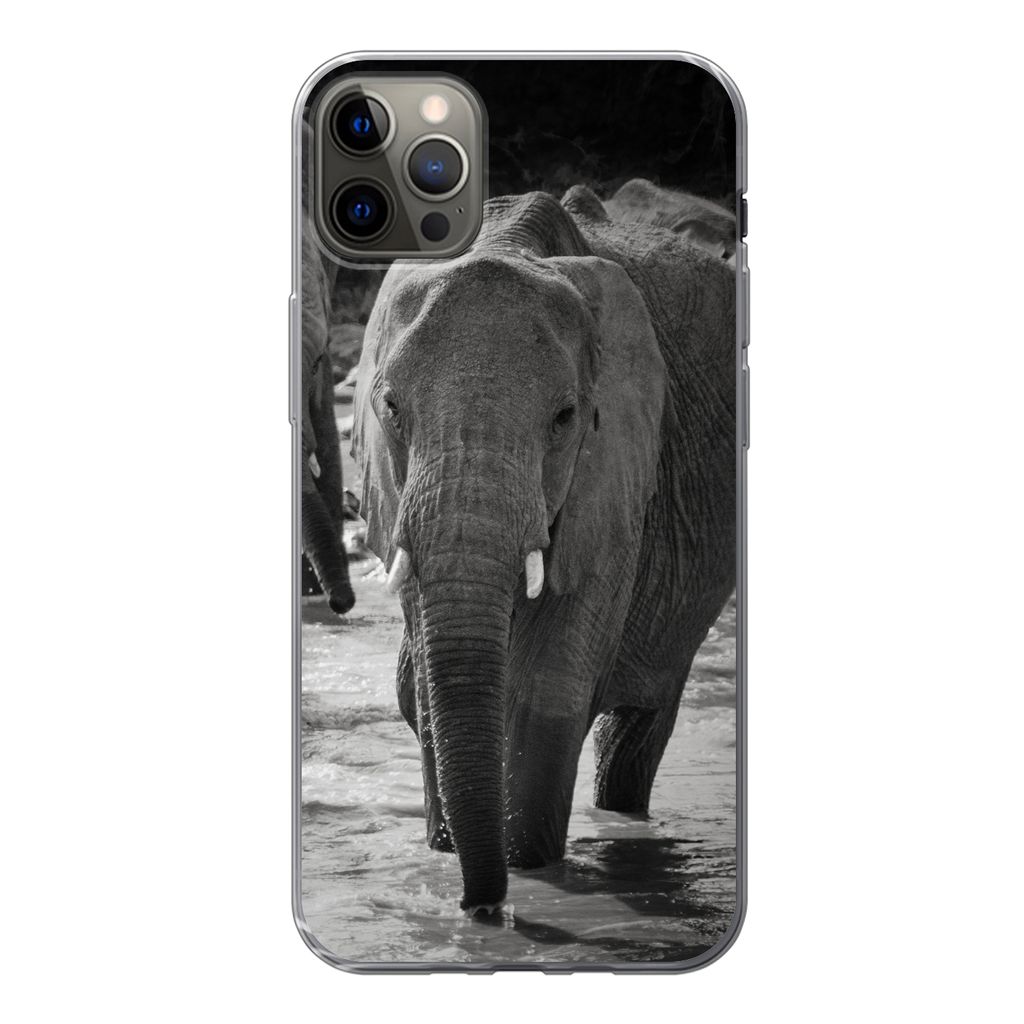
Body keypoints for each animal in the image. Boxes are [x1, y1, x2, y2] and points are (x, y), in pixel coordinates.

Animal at [351, 186, 736, 915]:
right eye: (390, 408)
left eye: (565, 418)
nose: (480, 910)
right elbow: (422, 686)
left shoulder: (617, 476)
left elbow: (545, 692)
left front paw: (526, 878)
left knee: (639, 727)